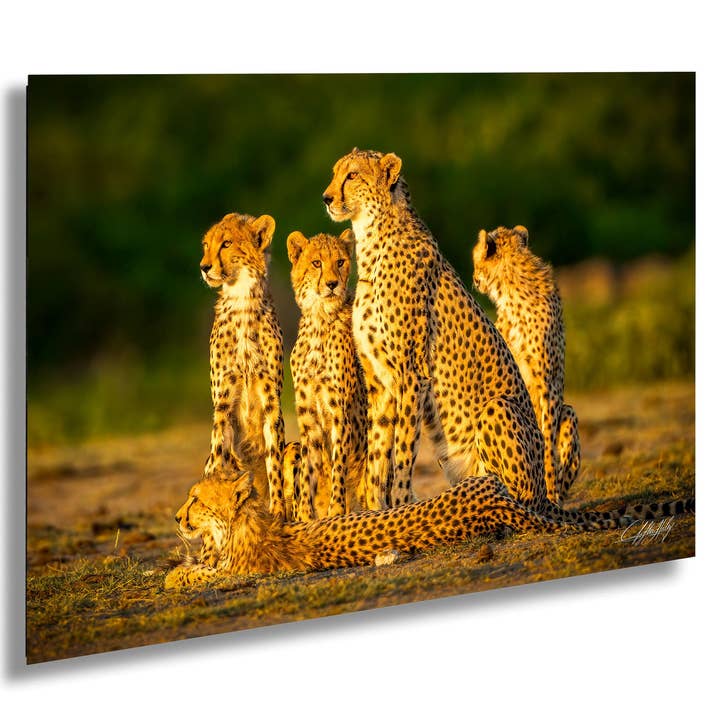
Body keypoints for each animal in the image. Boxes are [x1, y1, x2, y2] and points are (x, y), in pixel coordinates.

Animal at [163, 470, 568, 588]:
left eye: (195, 500)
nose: (177, 517)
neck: (240, 524)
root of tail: (494, 496)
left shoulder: (238, 574)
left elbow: (193, 574)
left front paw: (173, 574)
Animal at [199, 212, 287, 519]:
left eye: (226, 243)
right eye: (206, 245)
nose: (204, 267)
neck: (241, 301)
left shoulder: (272, 400)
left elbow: (275, 462)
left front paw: (279, 510)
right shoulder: (223, 403)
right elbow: (218, 459)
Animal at [287, 228, 371, 520]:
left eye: (341, 261)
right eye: (316, 263)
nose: (332, 284)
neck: (319, 319)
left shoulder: (339, 412)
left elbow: (339, 464)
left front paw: (336, 510)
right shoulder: (308, 416)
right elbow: (308, 471)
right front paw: (305, 515)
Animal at [472, 225, 580, 505]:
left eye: (476, 262)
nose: (474, 278)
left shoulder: (547, 384)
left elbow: (547, 442)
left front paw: (549, 488)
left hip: (568, 412)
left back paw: (556, 492)